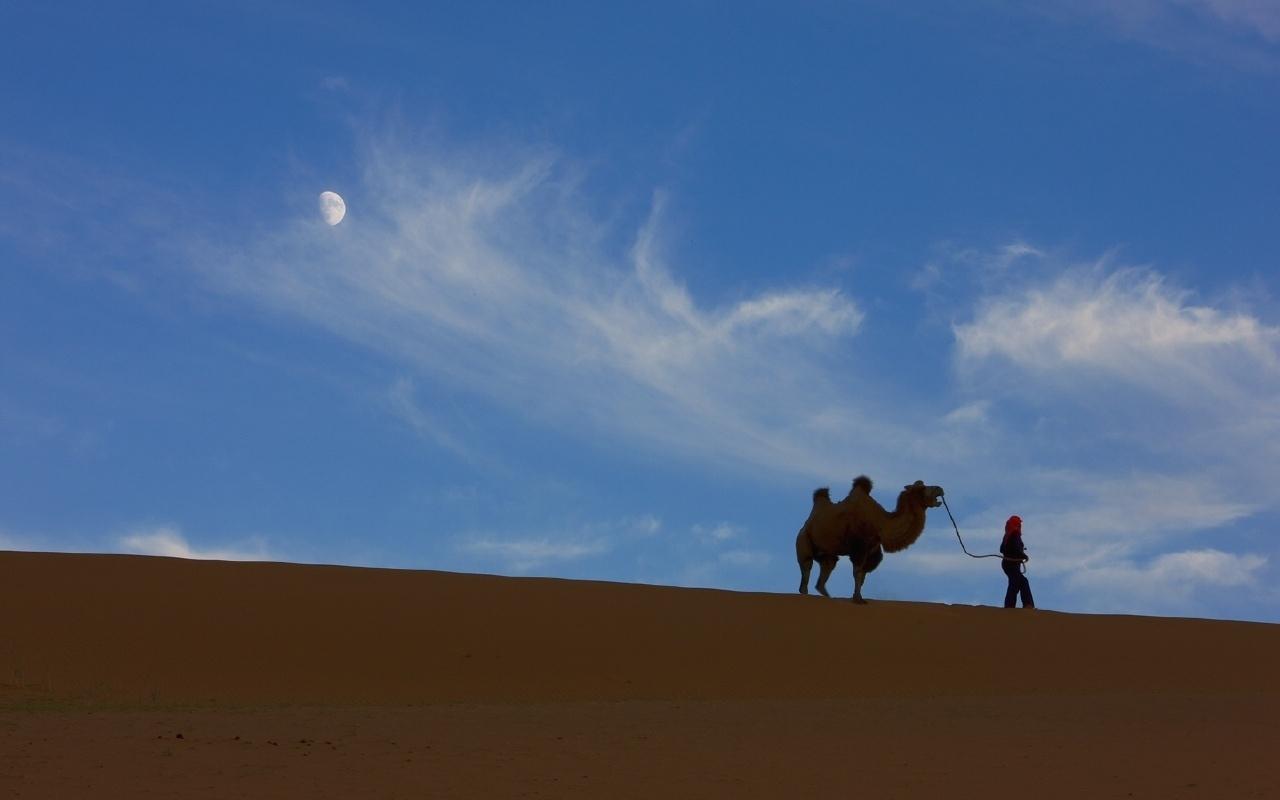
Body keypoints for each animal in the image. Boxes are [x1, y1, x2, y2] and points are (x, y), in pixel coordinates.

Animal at [793, 473, 947, 599]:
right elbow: (857, 572)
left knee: (825, 573)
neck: (880, 523)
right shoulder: (859, 547)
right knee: (806, 570)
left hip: (827, 554)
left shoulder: (872, 551)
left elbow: (863, 576)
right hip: (804, 542)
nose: (940, 488)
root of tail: (805, 526)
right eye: (921, 488)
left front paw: (858, 596)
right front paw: (858, 599)